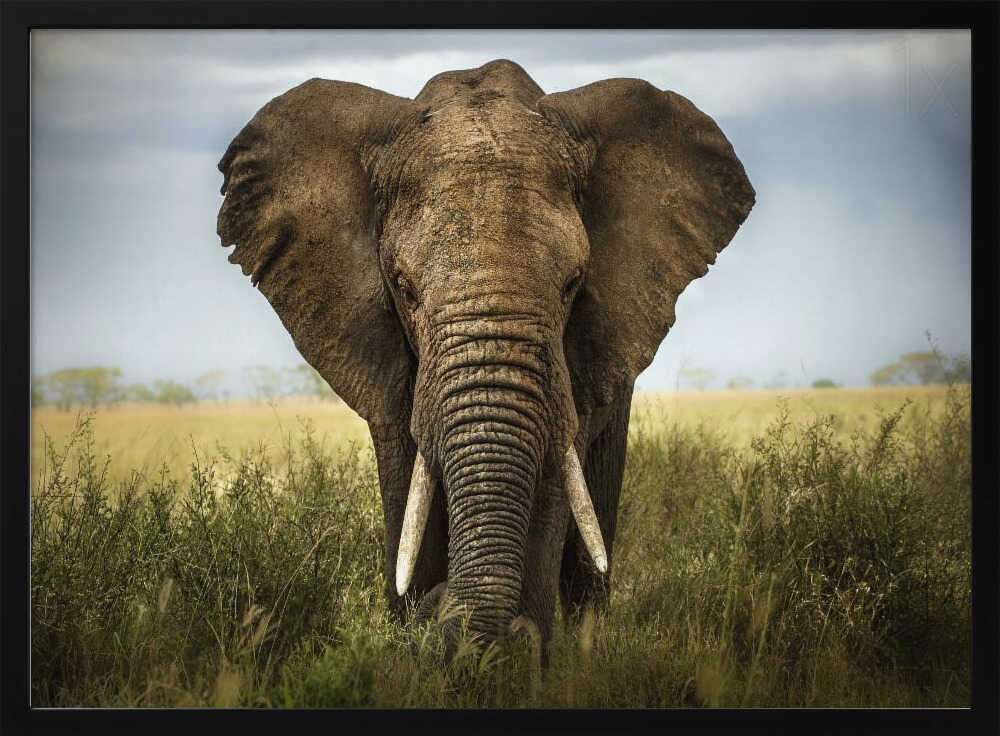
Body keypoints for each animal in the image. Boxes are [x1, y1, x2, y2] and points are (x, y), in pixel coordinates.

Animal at [217, 59, 754, 655]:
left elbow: (552, 481)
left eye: (573, 284)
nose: (440, 608)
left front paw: (520, 652)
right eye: (403, 288)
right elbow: (408, 484)